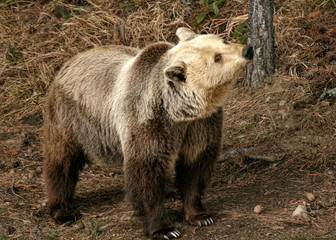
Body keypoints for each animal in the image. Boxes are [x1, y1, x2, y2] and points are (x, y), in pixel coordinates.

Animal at [42, 27, 252, 239]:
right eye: (217, 58)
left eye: (223, 41)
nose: (247, 50)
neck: (178, 111)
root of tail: (69, 61)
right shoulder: (147, 119)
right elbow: (146, 170)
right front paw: (164, 229)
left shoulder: (200, 124)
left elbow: (196, 163)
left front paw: (200, 215)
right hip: (70, 118)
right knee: (62, 160)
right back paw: (63, 210)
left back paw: (169, 192)